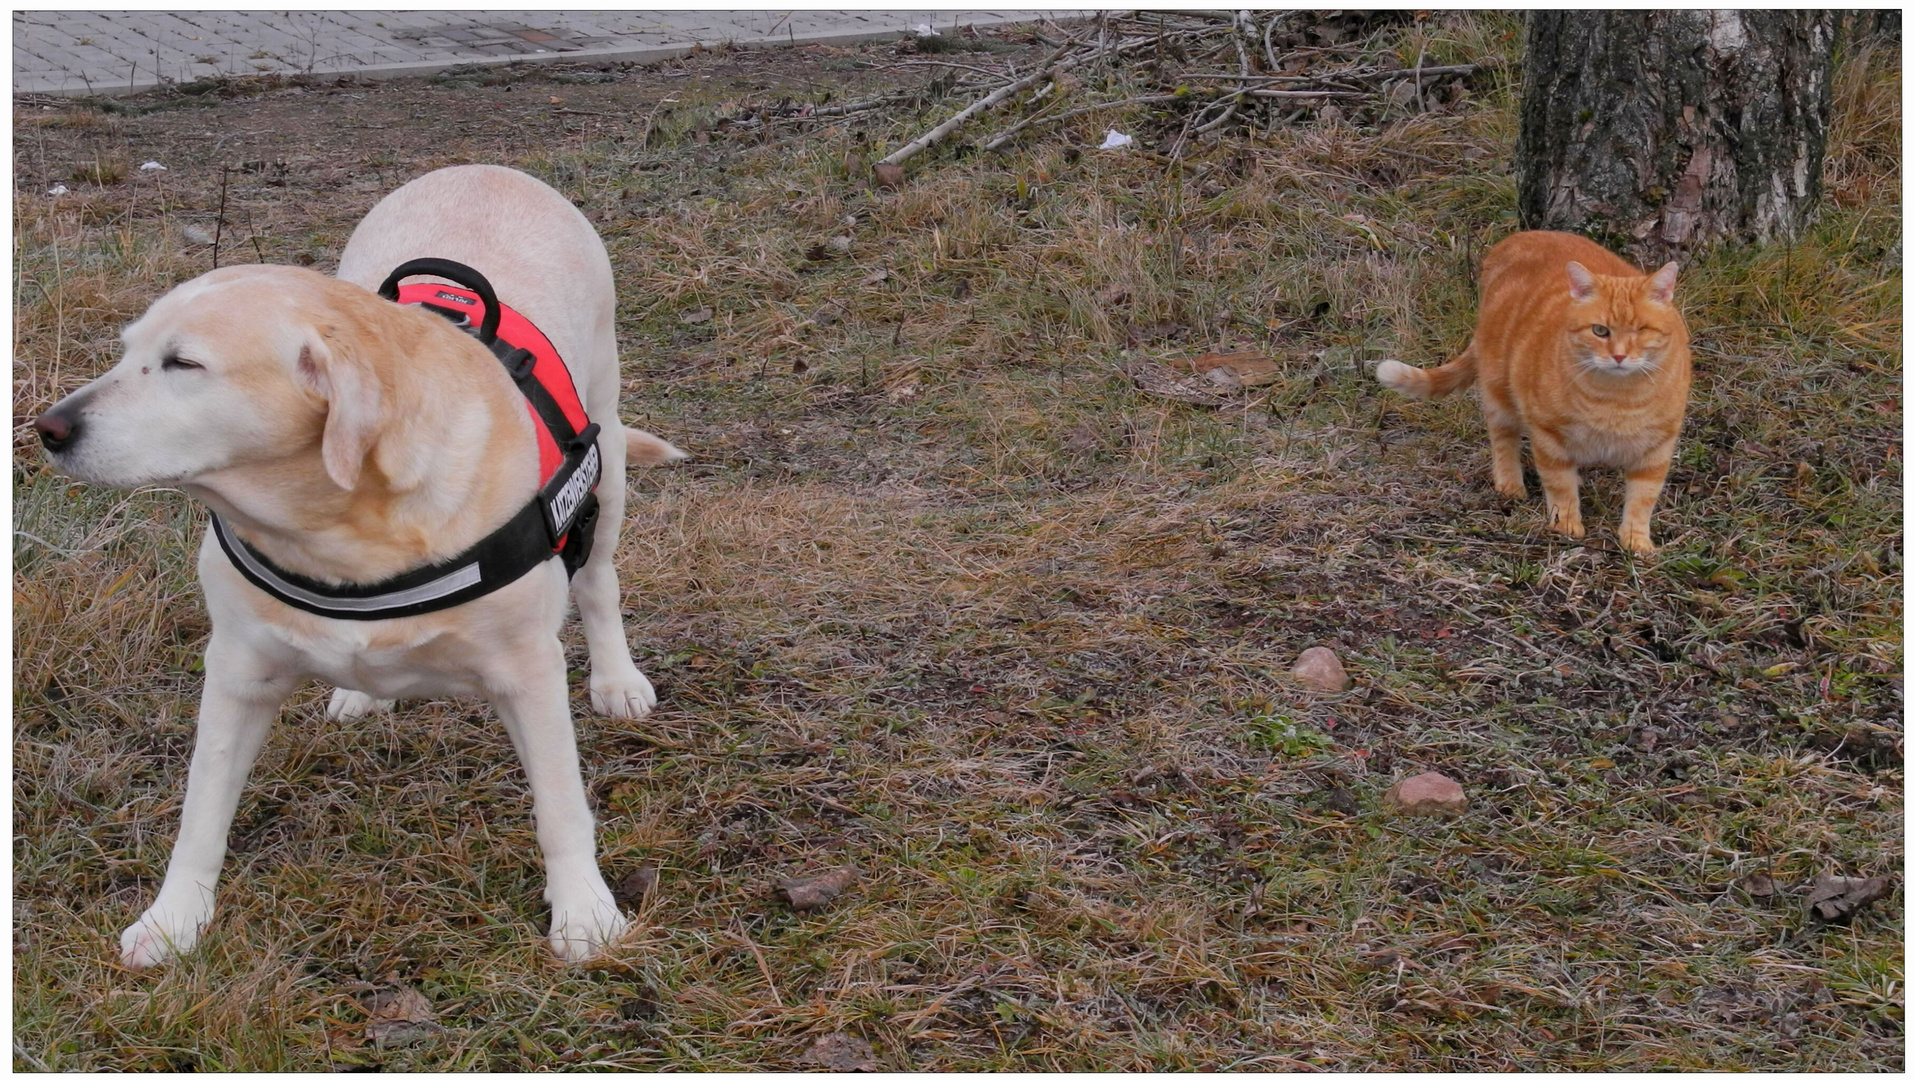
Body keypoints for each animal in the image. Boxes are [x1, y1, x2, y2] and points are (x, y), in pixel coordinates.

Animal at [35, 164, 681, 965]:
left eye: (184, 363)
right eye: (127, 352)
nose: (48, 428)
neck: (337, 528)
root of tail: (484, 167)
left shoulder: (528, 674)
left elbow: (561, 807)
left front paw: (584, 911)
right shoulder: (237, 673)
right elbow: (200, 815)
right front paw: (174, 918)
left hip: (609, 457)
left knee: (597, 582)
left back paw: (617, 678)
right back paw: (359, 693)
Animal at [1378, 234, 1691, 555]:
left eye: (1641, 330)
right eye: (1600, 331)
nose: (1619, 356)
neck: (1616, 398)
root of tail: (1517, 237)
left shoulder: (1657, 449)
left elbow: (1643, 498)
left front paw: (1636, 539)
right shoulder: (1548, 434)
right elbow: (1560, 485)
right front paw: (1566, 523)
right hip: (1499, 391)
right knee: (1503, 439)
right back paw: (1510, 485)